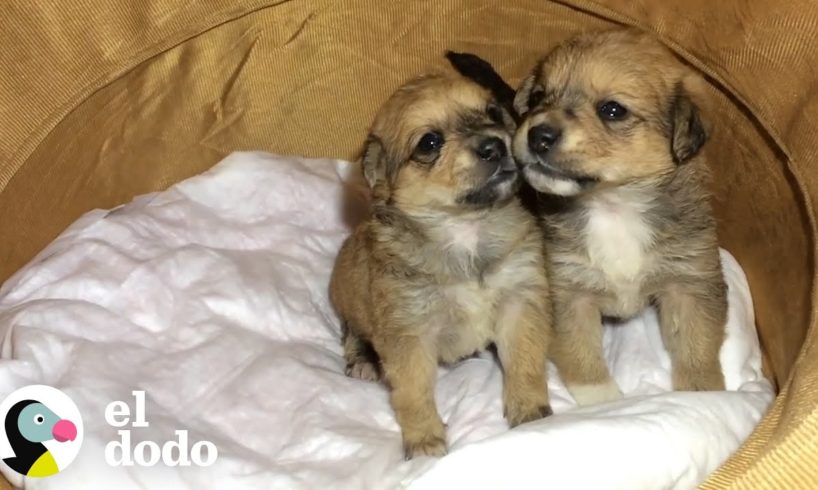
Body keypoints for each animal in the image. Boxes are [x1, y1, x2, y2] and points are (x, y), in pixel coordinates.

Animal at [328, 72, 552, 460]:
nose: (495, 145)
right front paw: (424, 441)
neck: (465, 230)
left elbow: (524, 360)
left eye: (493, 112)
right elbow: (413, 393)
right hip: (349, 305)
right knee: (352, 333)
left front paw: (529, 409)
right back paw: (364, 361)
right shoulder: (409, 335)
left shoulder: (519, 303)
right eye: (429, 143)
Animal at [510, 29, 728, 406]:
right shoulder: (570, 292)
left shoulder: (690, 284)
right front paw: (603, 402)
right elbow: (581, 354)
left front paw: (702, 393)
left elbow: (697, 347)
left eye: (612, 110)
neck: (614, 205)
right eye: (538, 96)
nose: (537, 135)